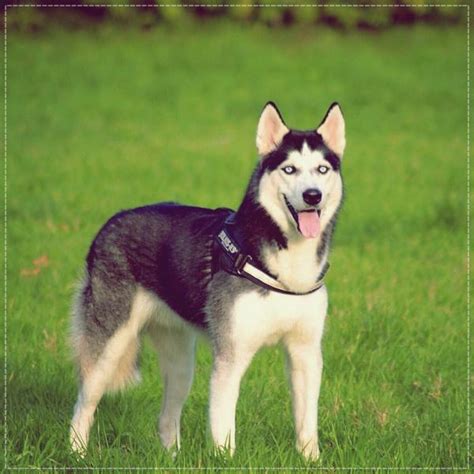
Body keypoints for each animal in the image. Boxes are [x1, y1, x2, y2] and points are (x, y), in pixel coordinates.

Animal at [69, 102, 344, 462]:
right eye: (290, 169)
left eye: (322, 169)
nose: (312, 196)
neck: (284, 266)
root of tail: (110, 222)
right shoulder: (230, 356)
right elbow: (224, 428)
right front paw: (226, 460)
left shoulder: (306, 353)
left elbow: (307, 424)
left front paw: (311, 460)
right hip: (109, 347)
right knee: (83, 403)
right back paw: (76, 453)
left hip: (181, 362)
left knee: (166, 418)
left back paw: (171, 458)